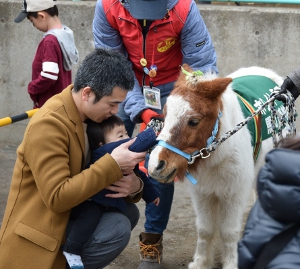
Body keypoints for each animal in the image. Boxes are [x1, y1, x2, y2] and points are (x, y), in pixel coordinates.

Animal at [148, 64, 284, 268]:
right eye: (165, 114)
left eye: (193, 121)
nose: (156, 165)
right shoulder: (202, 193)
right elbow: (204, 229)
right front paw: (200, 262)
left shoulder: (235, 193)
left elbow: (229, 231)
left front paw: (231, 263)